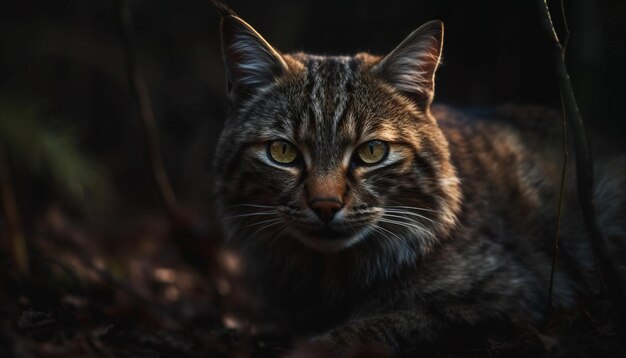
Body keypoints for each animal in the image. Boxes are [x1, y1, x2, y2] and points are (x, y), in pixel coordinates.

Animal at [211, 4, 624, 356]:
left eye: (372, 152)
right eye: (283, 152)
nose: (325, 206)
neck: (330, 270)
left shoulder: (518, 296)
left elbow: (399, 321)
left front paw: (317, 346)